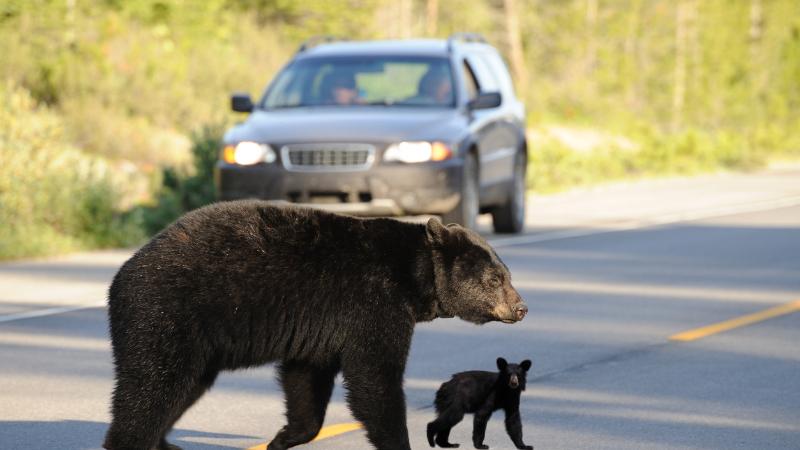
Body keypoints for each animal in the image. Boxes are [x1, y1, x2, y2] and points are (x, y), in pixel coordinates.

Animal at [103, 200, 528, 450]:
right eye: (496, 279)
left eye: (506, 274)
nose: (521, 307)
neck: (413, 276)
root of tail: (119, 278)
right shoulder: (373, 301)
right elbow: (374, 376)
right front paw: (398, 441)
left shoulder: (322, 323)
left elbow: (307, 378)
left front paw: (283, 437)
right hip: (166, 317)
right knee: (151, 389)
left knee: (181, 389)